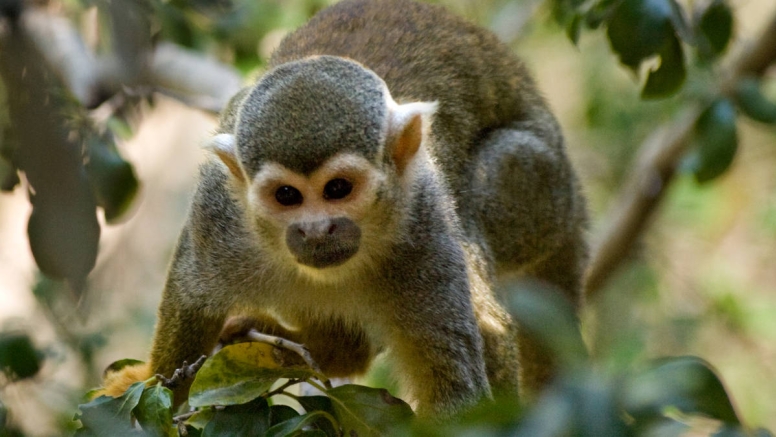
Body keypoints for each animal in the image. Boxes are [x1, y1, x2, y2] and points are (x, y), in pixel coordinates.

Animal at [100, 0, 588, 418]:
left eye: (338, 189)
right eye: (287, 196)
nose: (317, 230)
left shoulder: (425, 228)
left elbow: (462, 383)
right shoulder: (219, 212)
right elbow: (192, 291)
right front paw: (157, 379)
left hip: (535, 189)